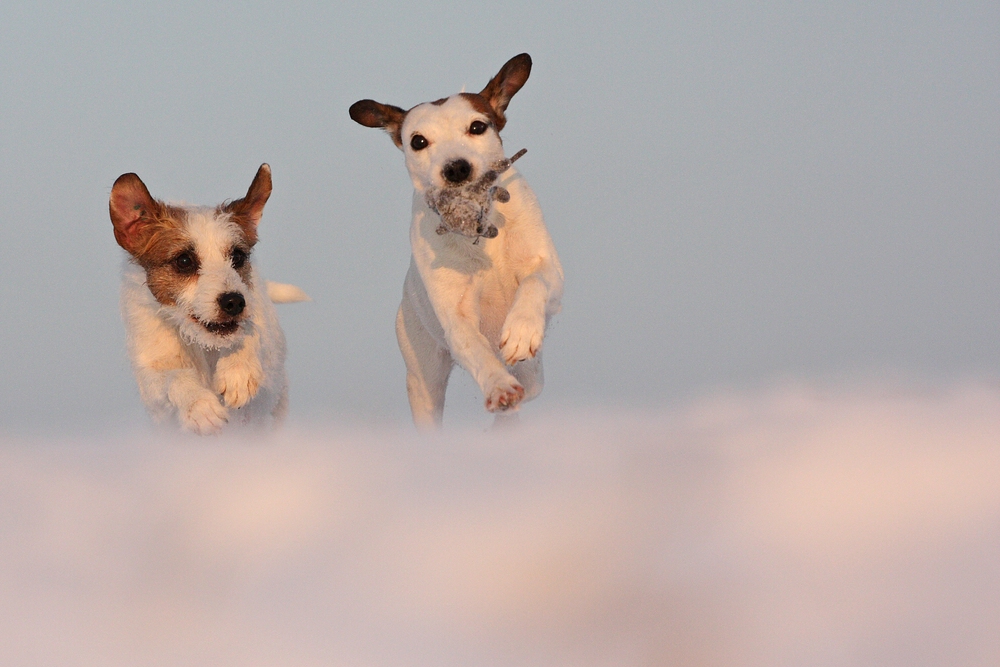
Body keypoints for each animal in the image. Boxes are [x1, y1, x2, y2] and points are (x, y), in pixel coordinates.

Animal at [107, 162, 306, 434]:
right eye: (184, 261)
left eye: (238, 257)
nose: (234, 302)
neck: (201, 345)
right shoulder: (151, 374)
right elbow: (172, 377)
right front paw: (200, 406)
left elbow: (249, 331)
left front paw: (238, 371)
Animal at [350, 52, 564, 428]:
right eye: (418, 141)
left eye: (477, 127)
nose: (456, 168)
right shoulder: (455, 313)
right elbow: (474, 348)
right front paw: (498, 387)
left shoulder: (549, 269)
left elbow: (534, 281)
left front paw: (521, 330)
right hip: (421, 372)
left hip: (532, 374)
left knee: (531, 381)